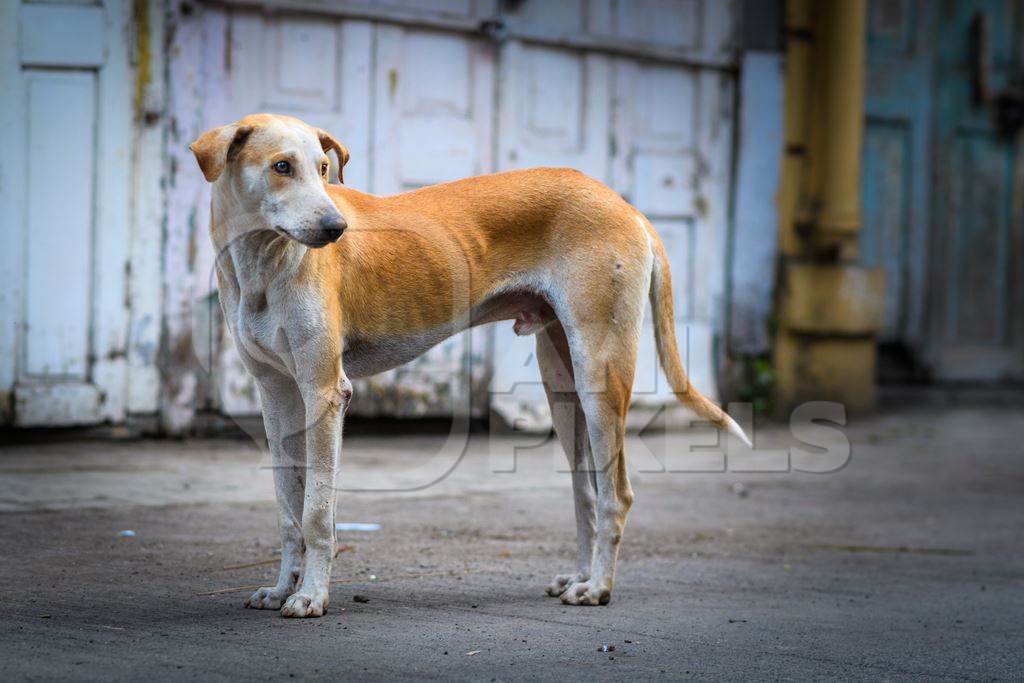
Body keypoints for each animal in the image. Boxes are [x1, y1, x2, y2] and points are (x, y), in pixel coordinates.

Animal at [192, 114, 753, 618]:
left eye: (325, 168)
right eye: (281, 166)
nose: (336, 228)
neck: (263, 262)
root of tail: (624, 204)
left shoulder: (326, 393)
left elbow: (317, 513)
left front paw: (311, 596)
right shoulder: (276, 396)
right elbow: (289, 509)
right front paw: (281, 589)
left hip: (600, 376)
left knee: (617, 495)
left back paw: (598, 588)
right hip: (562, 389)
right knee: (586, 493)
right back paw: (581, 575)